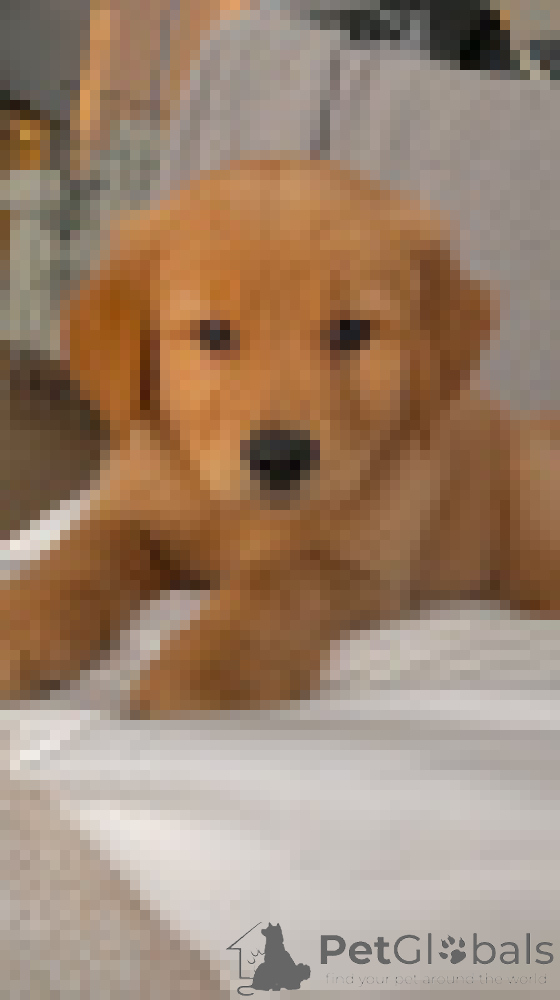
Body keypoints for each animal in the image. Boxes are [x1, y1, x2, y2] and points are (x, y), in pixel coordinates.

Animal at [2, 157, 560, 715]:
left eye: (351, 330)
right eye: (213, 332)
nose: (280, 457)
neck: (244, 518)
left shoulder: (362, 566)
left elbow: (277, 587)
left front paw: (206, 668)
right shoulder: (134, 507)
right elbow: (83, 554)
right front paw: (22, 621)